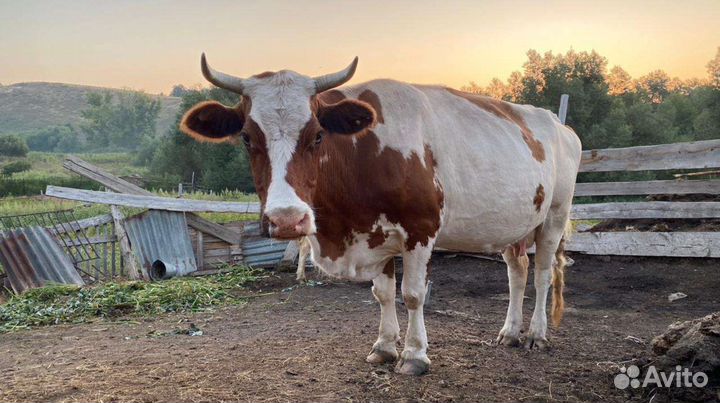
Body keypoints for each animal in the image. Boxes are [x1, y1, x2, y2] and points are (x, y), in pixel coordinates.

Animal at [180, 55, 582, 375]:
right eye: (247, 137)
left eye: (318, 135)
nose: (287, 219)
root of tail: (556, 122)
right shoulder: (374, 235)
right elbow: (383, 294)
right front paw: (385, 347)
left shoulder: (420, 229)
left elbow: (413, 294)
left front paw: (415, 355)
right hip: (516, 224)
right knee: (517, 273)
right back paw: (510, 332)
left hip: (554, 216)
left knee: (542, 275)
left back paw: (536, 334)